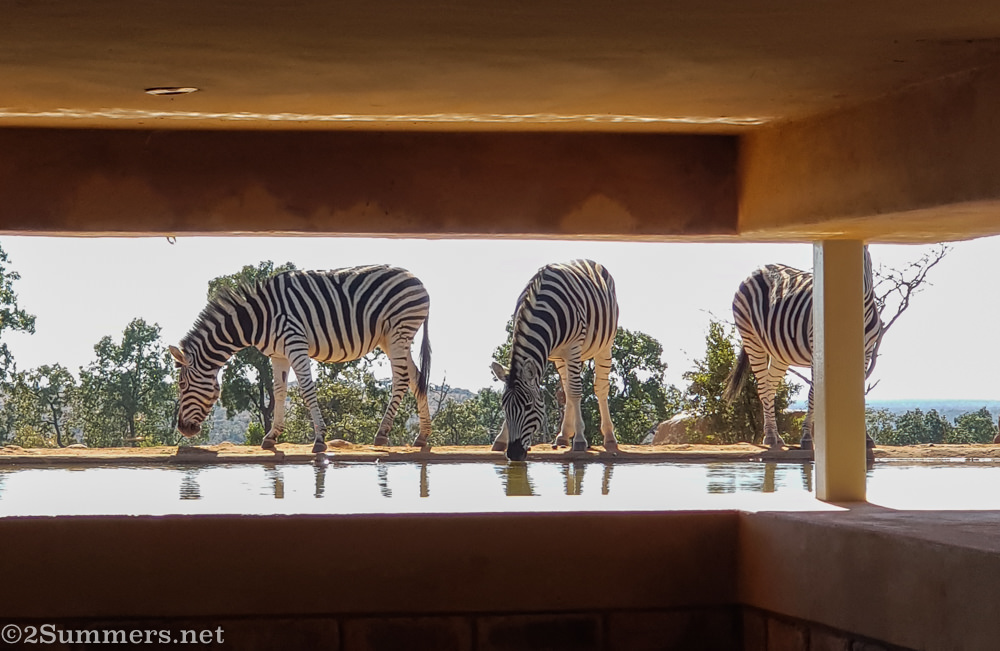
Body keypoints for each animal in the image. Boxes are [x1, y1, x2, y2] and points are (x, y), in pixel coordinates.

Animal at [169, 265, 432, 453]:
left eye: (182, 385)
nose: (182, 428)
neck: (258, 318)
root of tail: (416, 278)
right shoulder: (278, 355)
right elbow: (279, 392)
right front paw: (271, 437)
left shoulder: (295, 343)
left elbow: (306, 389)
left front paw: (320, 439)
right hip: (390, 339)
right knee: (416, 377)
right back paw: (422, 436)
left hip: (398, 331)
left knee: (401, 379)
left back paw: (382, 433)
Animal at [491, 259, 619, 462]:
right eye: (504, 406)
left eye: (528, 406)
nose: (514, 454)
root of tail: (587, 260)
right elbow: (570, 391)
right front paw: (500, 439)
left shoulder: (573, 347)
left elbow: (576, 392)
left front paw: (580, 440)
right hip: (562, 357)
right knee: (567, 388)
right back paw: (563, 435)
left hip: (604, 345)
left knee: (599, 388)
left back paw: (608, 437)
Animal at [725, 247, 881, 450]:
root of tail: (758, 269)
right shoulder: (817, 354)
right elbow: (814, 394)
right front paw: (807, 437)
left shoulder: (866, 352)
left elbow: (859, 393)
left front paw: (866, 438)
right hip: (752, 338)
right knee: (763, 388)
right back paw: (770, 436)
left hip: (779, 352)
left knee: (770, 386)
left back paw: (776, 435)